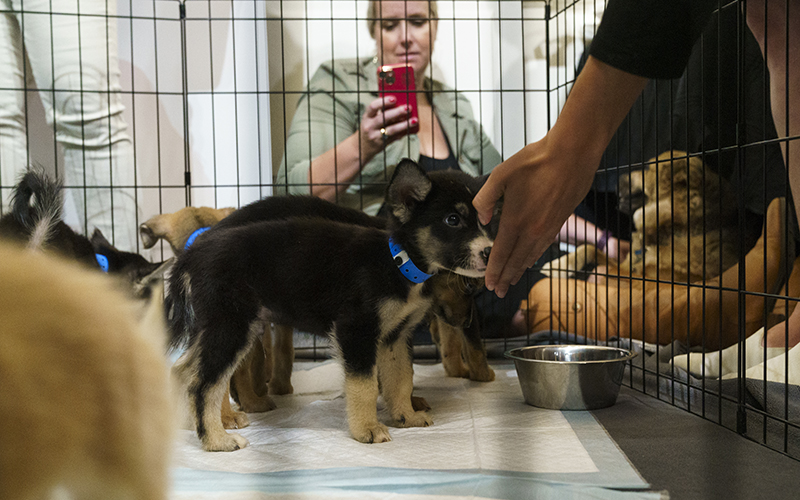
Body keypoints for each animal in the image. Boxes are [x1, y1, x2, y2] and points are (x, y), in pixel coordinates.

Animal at [168, 160, 494, 454]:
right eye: (453, 220)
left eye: (483, 221)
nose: (489, 251)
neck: (397, 262)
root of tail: (193, 253)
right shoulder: (355, 329)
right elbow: (365, 385)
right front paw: (367, 430)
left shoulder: (395, 336)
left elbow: (401, 378)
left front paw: (407, 417)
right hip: (232, 324)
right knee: (204, 383)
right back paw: (217, 439)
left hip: (221, 326)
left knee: (185, 371)